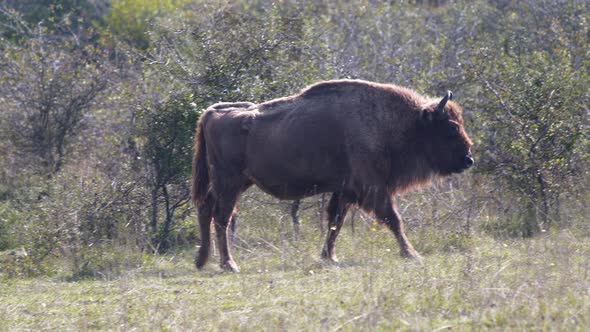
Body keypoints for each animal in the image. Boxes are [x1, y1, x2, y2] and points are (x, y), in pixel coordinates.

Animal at [194, 80, 476, 272]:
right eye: (451, 128)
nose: (468, 159)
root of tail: (211, 112)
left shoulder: (345, 191)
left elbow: (335, 222)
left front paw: (329, 257)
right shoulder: (373, 189)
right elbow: (393, 219)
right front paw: (411, 253)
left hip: (235, 183)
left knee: (206, 209)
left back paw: (202, 260)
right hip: (230, 183)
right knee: (221, 216)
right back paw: (229, 264)